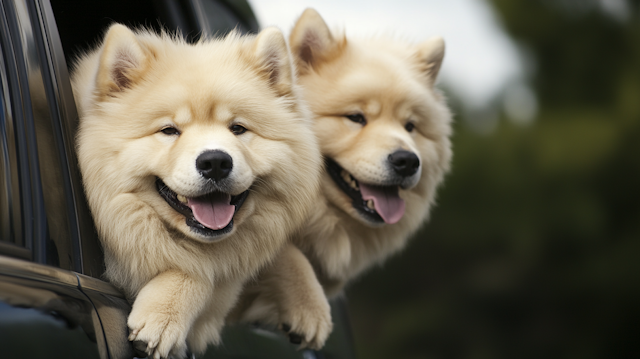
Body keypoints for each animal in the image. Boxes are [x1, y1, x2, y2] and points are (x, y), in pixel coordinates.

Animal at [73, 23, 322, 358]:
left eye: (238, 129)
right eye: (169, 130)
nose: (215, 162)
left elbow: (208, 266)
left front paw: (310, 305)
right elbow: (194, 265)